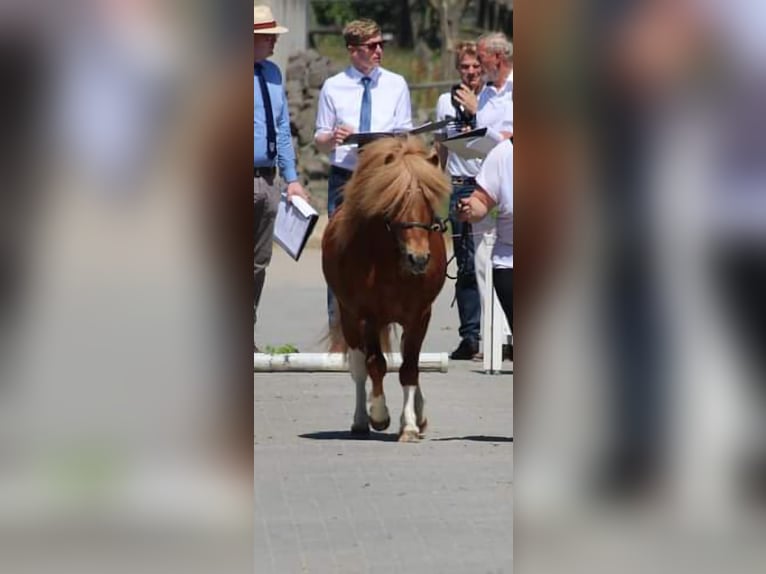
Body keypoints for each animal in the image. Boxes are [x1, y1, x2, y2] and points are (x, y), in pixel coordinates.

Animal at [322, 137, 452, 444]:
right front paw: (379, 416)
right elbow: (376, 365)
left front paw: (410, 425)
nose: (419, 259)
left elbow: (410, 368)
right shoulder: (369, 317)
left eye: (429, 201)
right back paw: (361, 419)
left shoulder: (419, 316)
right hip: (350, 318)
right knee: (359, 366)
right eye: (395, 202)